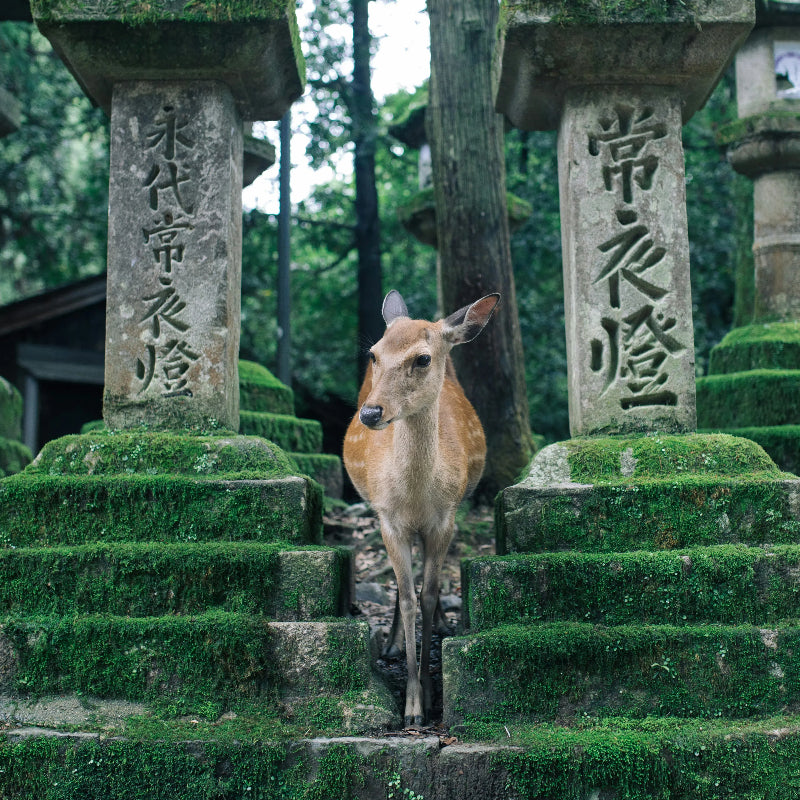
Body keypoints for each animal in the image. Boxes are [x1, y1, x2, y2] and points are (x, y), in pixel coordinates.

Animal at [342, 288, 500, 724]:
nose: (371, 413)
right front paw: (411, 706)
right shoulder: (388, 519)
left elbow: (427, 596)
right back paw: (392, 643)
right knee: (401, 588)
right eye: (374, 354)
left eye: (423, 358)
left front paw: (429, 697)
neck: (414, 497)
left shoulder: (443, 519)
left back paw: (443, 625)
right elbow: (408, 597)